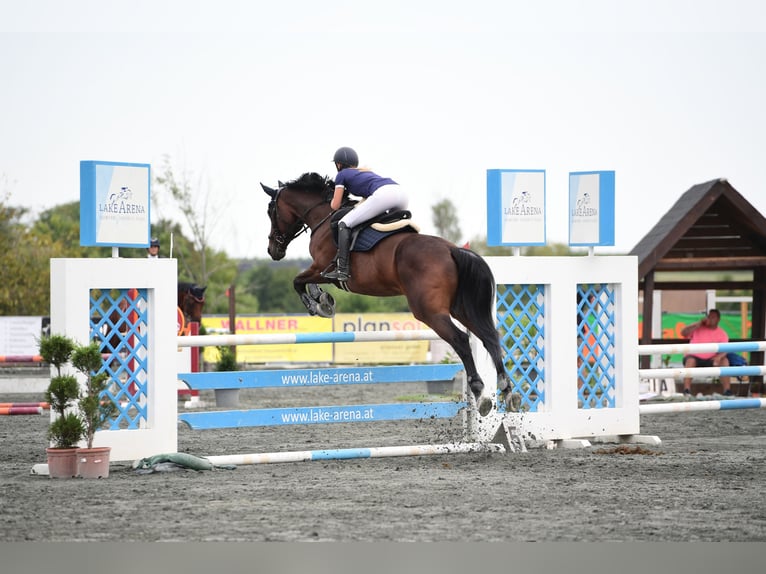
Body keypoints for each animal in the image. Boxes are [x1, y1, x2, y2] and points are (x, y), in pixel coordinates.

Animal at [262, 172, 510, 418]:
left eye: (270, 211)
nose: (273, 251)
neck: (324, 216)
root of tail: (452, 249)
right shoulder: (319, 270)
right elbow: (306, 282)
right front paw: (323, 299)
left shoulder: (323, 268)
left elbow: (298, 281)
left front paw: (317, 306)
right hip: (461, 308)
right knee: (488, 337)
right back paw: (506, 389)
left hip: (429, 311)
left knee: (460, 339)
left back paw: (480, 393)